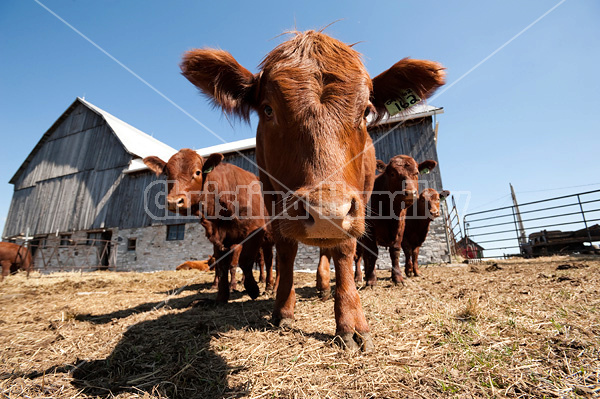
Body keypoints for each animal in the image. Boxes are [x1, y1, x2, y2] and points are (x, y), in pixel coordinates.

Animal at [144, 150, 276, 304]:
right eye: (166, 173)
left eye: (197, 172)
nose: (174, 202)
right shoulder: (218, 238)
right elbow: (222, 266)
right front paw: (221, 297)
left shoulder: (252, 233)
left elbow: (244, 261)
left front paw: (252, 289)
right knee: (268, 260)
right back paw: (268, 285)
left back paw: (271, 287)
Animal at [358, 156, 438, 288]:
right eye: (392, 174)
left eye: (416, 173)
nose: (410, 193)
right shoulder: (370, 230)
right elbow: (373, 253)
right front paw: (372, 280)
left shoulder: (401, 228)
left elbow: (396, 252)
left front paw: (398, 277)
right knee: (359, 257)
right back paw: (358, 277)